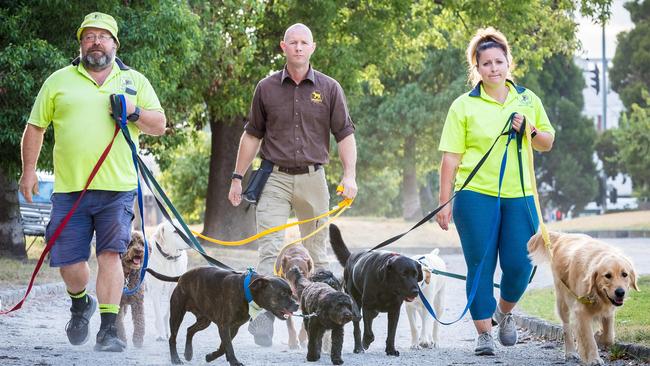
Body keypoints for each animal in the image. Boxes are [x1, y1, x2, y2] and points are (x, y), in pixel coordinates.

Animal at [528, 233, 636, 364]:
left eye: (624, 274)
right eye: (607, 276)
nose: (620, 292)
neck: (596, 293)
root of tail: (562, 236)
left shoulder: (608, 311)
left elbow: (609, 337)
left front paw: (599, 336)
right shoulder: (581, 311)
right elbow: (589, 339)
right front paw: (594, 358)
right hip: (562, 300)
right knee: (567, 328)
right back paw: (570, 352)